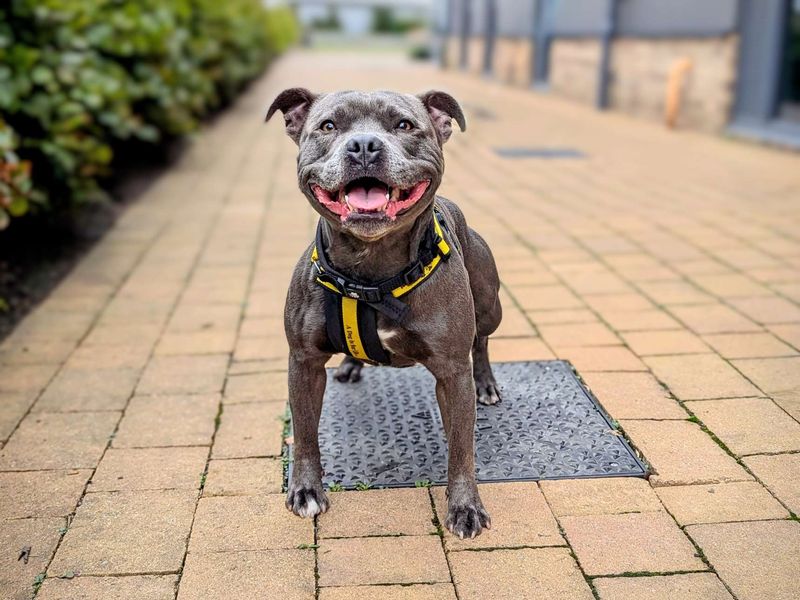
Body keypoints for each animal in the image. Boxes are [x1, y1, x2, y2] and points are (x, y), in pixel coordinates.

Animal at [272, 88, 504, 540]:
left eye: (404, 125)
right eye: (328, 125)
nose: (364, 145)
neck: (371, 275)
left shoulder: (452, 373)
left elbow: (461, 448)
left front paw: (465, 506)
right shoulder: (304, 362)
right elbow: (306, 434)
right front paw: (305, 490)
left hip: (490, 306)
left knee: (482, 339)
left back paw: (486, 383)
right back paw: (350, 364)